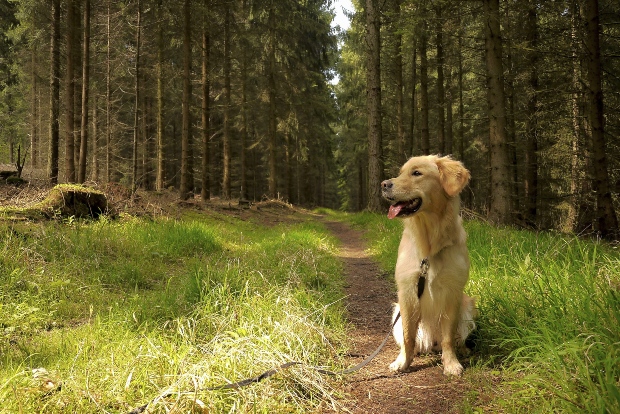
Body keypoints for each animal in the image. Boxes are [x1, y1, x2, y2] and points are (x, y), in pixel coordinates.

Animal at [380, 154, 478, 376]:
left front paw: (451, 363)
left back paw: (463, 350)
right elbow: (408, 336)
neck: (430, 244)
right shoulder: (407, 293)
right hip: (396, 312)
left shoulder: (452, 291)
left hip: (467, 307)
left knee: (456, 338)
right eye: (400, 173)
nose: (384, 184)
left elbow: (448, 336)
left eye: (416, 173)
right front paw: (403, 362)